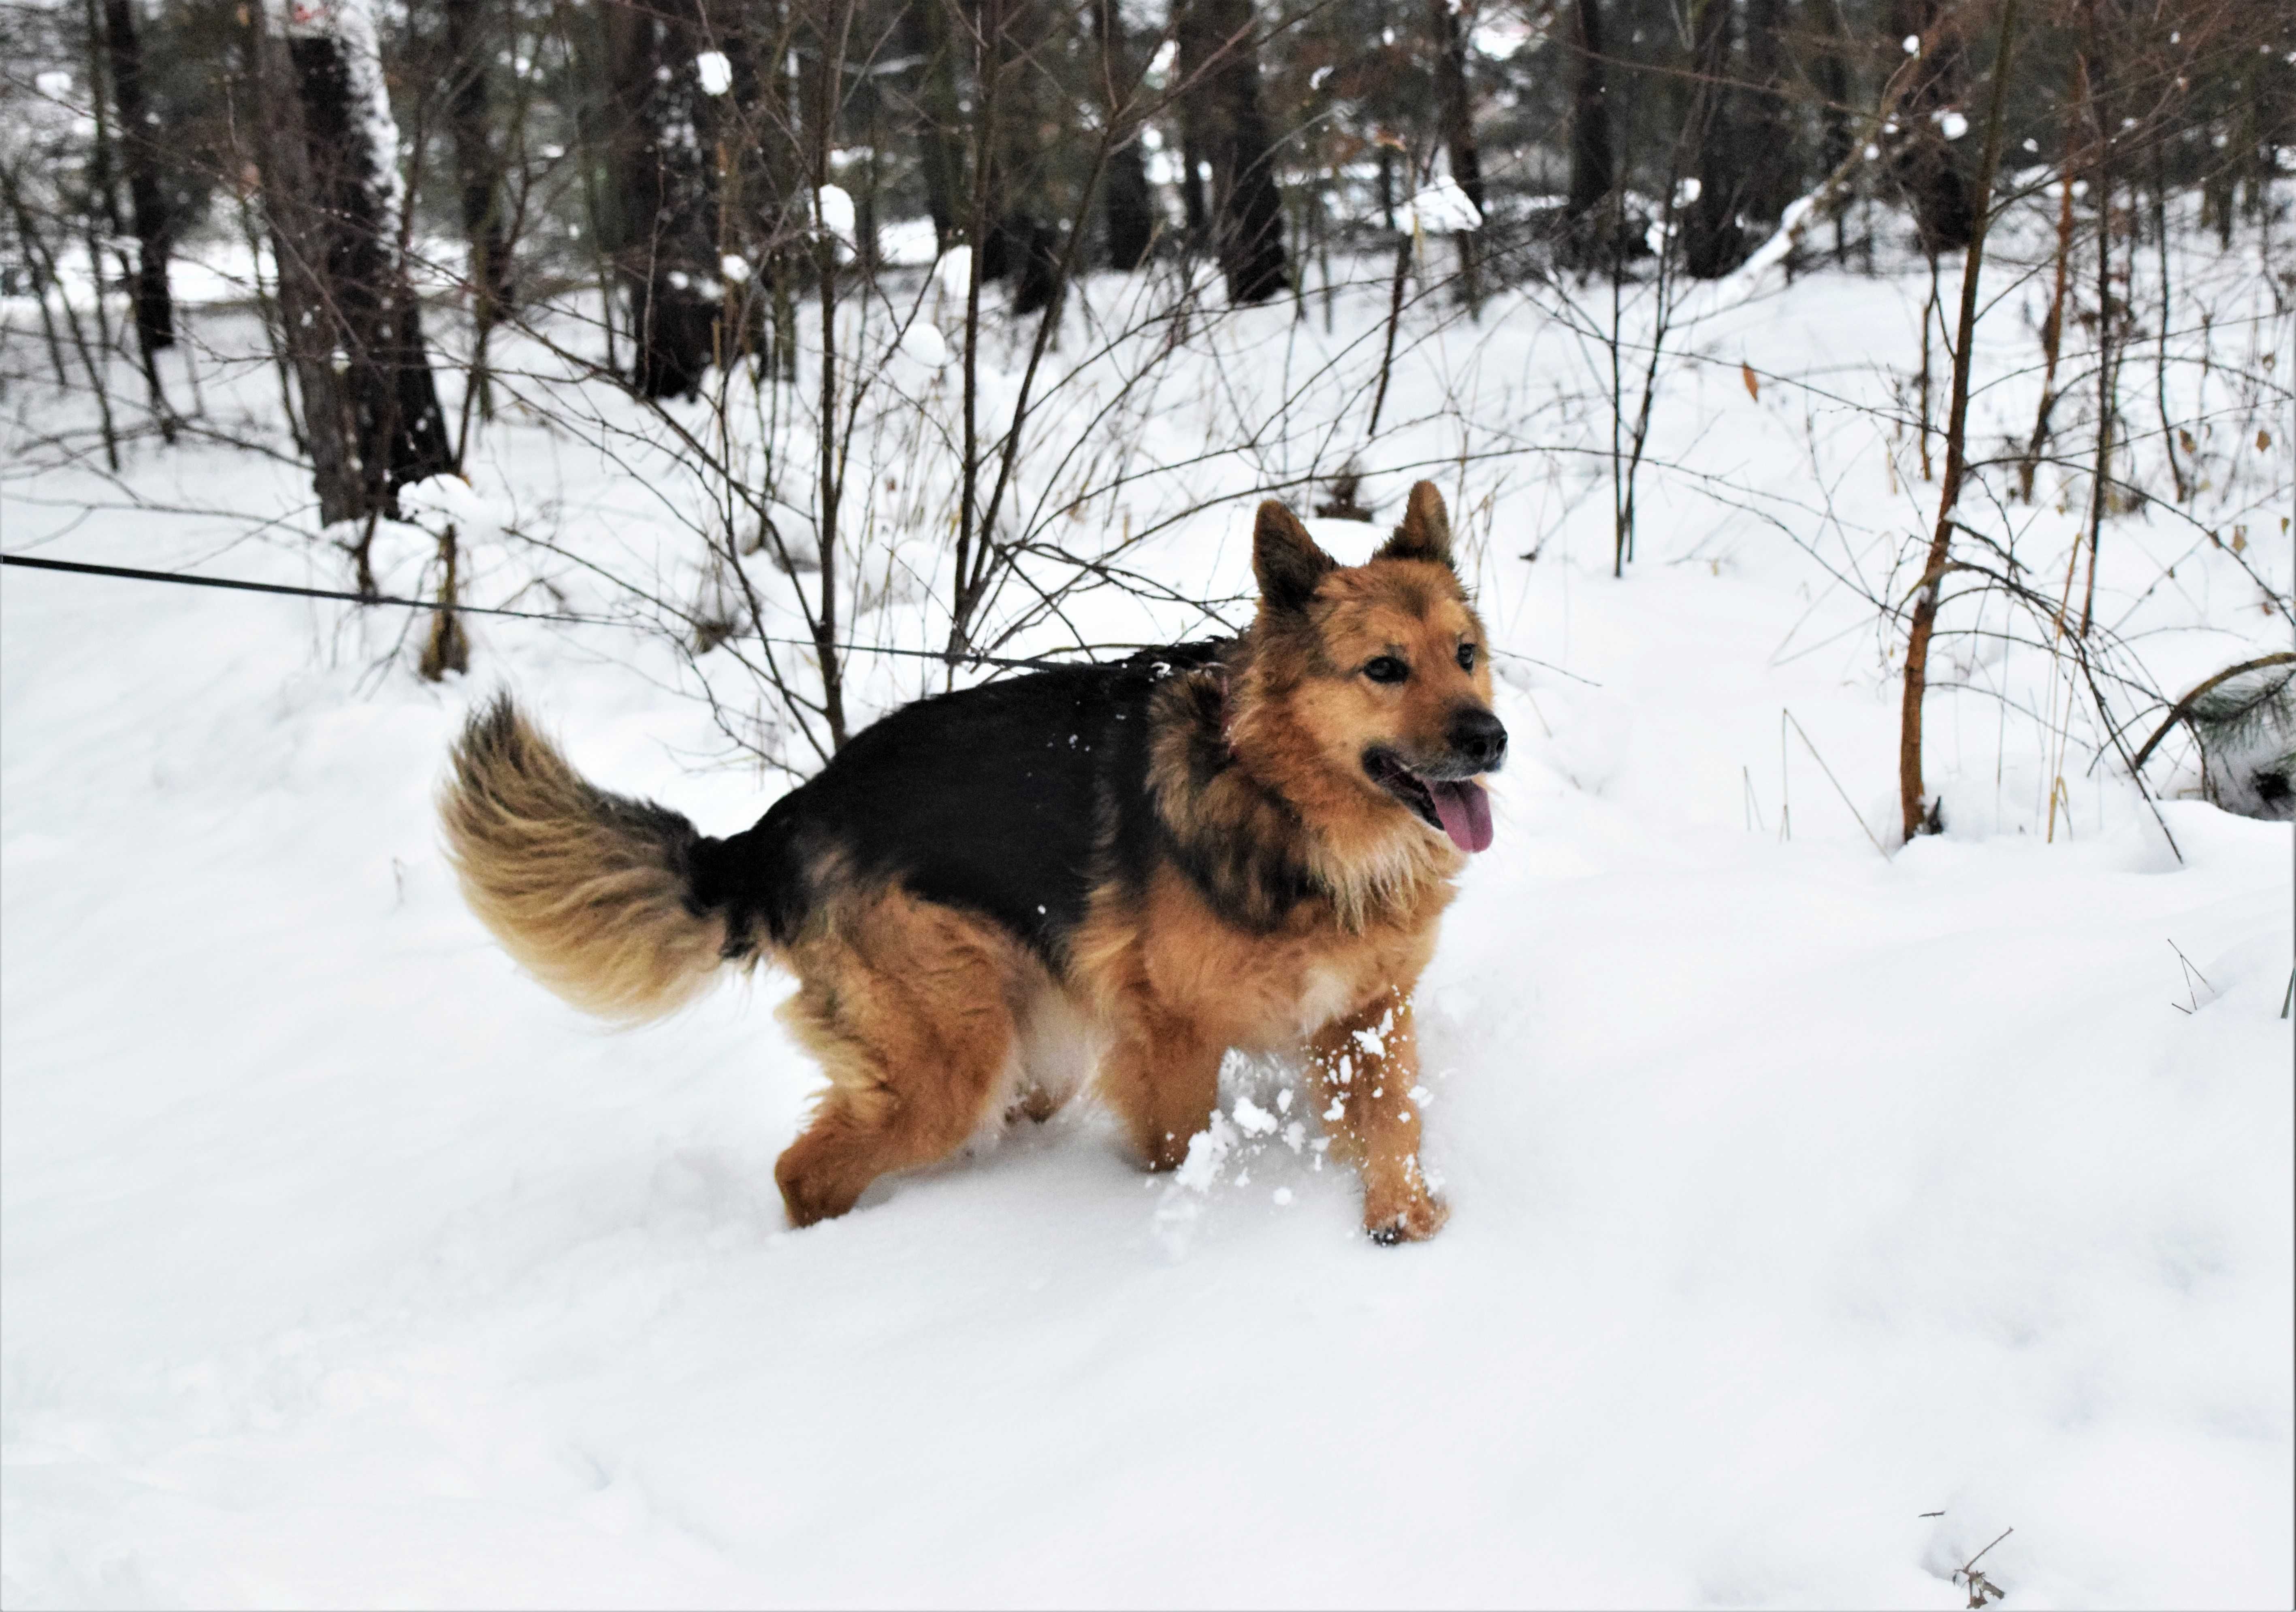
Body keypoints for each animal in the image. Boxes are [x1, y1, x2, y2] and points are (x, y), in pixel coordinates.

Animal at [443, 487, 1506, 1240]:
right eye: (1383, 669)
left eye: (1464, 654)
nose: (1489, 739)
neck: (1290, 813)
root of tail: (781, 822)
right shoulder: (1168, 1038)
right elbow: (1175, 1146)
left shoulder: (1363, 1013)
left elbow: (1390, 1121)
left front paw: (1401, 1215)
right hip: (947, 1058)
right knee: (804, 1171)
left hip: (1019, 1030)